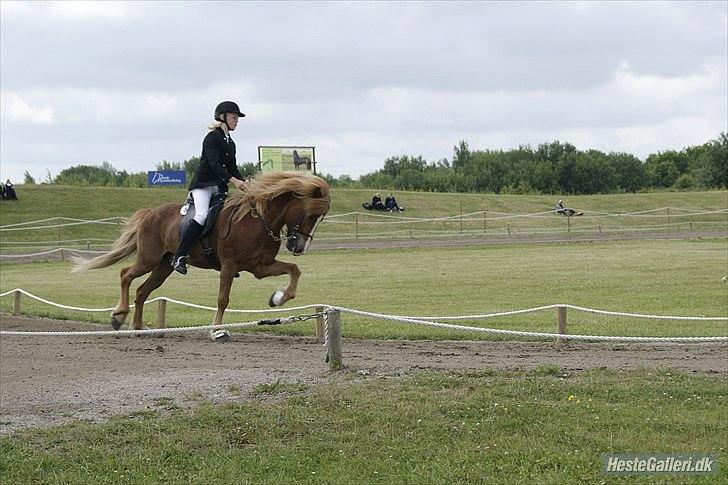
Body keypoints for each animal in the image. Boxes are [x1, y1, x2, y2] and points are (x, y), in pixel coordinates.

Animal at [69, 172, 332, 338]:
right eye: (310, 215)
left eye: (320, 218)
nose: (300, 248)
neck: (258, 220)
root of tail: (149, 213)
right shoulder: (229, 266)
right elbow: (223, 299)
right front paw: (217, 330)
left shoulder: (260, 266)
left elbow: (294, 271)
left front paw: (278, 298)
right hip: (149, 259)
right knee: (125, 274)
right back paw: (119, 316)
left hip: (163, 266)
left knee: (142, 291)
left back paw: (138, 327)